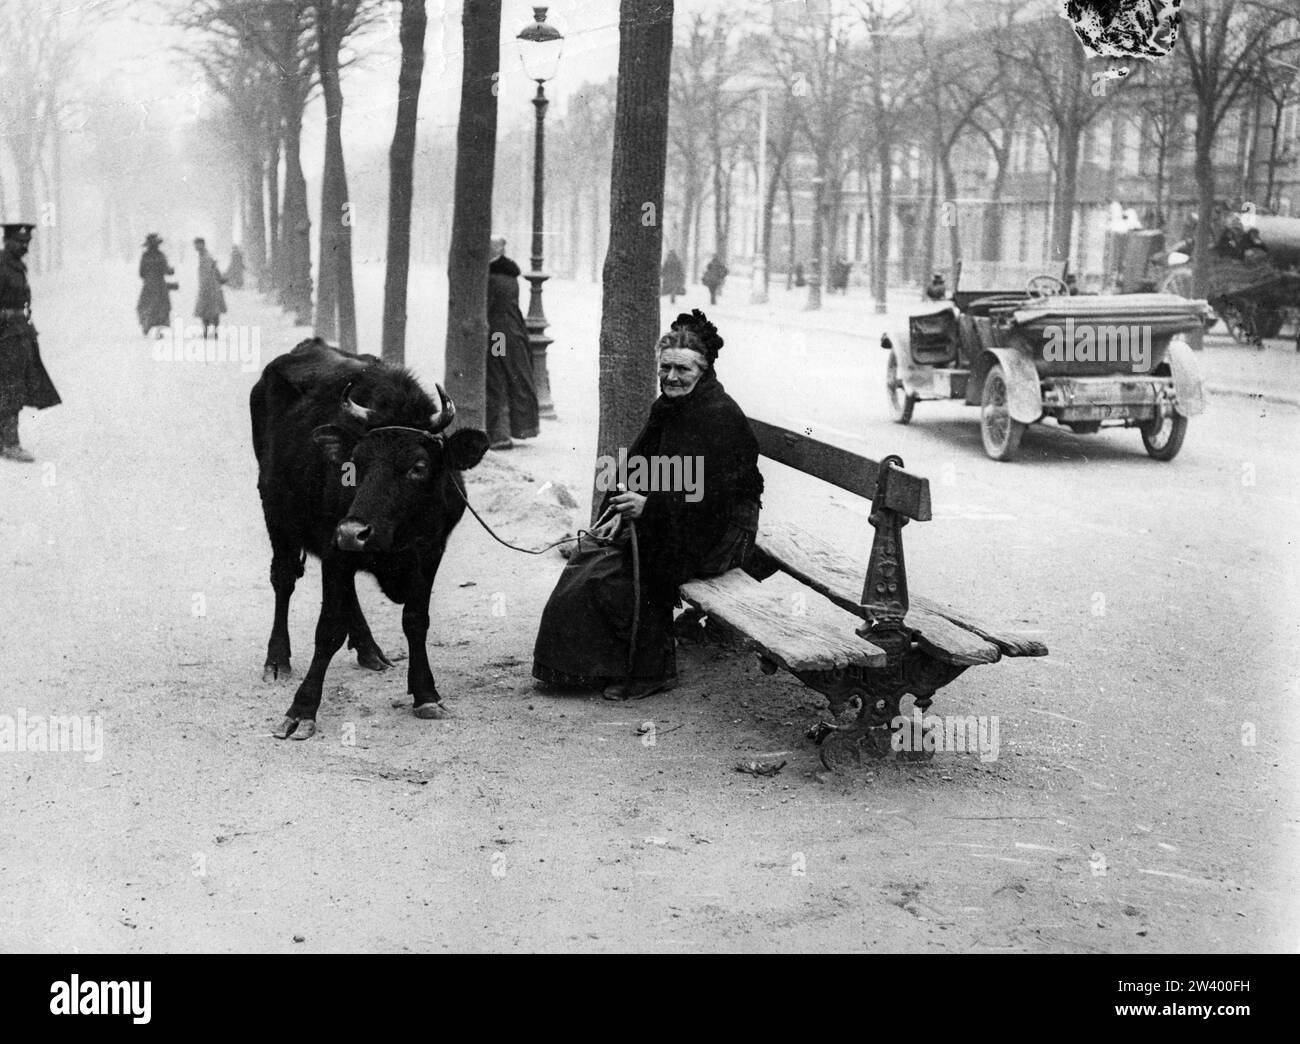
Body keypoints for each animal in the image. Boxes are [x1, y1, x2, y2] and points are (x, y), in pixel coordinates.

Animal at [248, 338, 488, 738]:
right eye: (353, 464)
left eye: (418, 467)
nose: (352, 532)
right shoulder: (335, 550)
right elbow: (327, 629)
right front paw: (302, 709)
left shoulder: (431, 552)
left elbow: (415, 620)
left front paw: (425, 693)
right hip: (275, 511)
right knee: (283, 578)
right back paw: (277, 660)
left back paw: (369, 649)